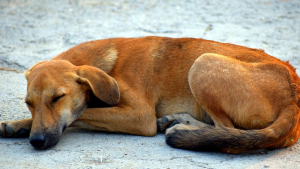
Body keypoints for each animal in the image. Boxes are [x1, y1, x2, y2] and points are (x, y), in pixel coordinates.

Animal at [0, 36, 300, 153]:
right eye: (29, 103)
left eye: (58, 98)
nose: (37, 142)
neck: (108, 65)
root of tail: (294, 96)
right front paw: (16, 125)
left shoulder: (140, 116)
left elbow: (82, 113)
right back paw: (180, 121)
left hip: (203, 63)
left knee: (230, 134)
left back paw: (187, 131)